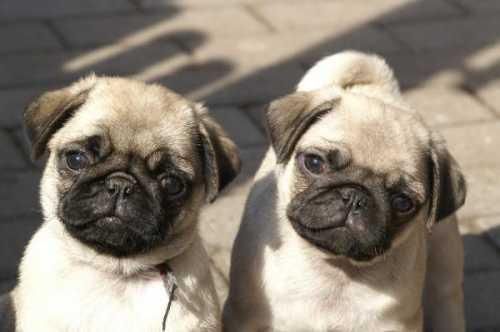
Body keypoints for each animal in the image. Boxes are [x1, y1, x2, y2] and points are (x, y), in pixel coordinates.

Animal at [223, 50, 464, 330]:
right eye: (314, 163)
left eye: (403, 202)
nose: (355, 197)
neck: (334, 271)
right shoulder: (246, 318)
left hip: (445, 275)